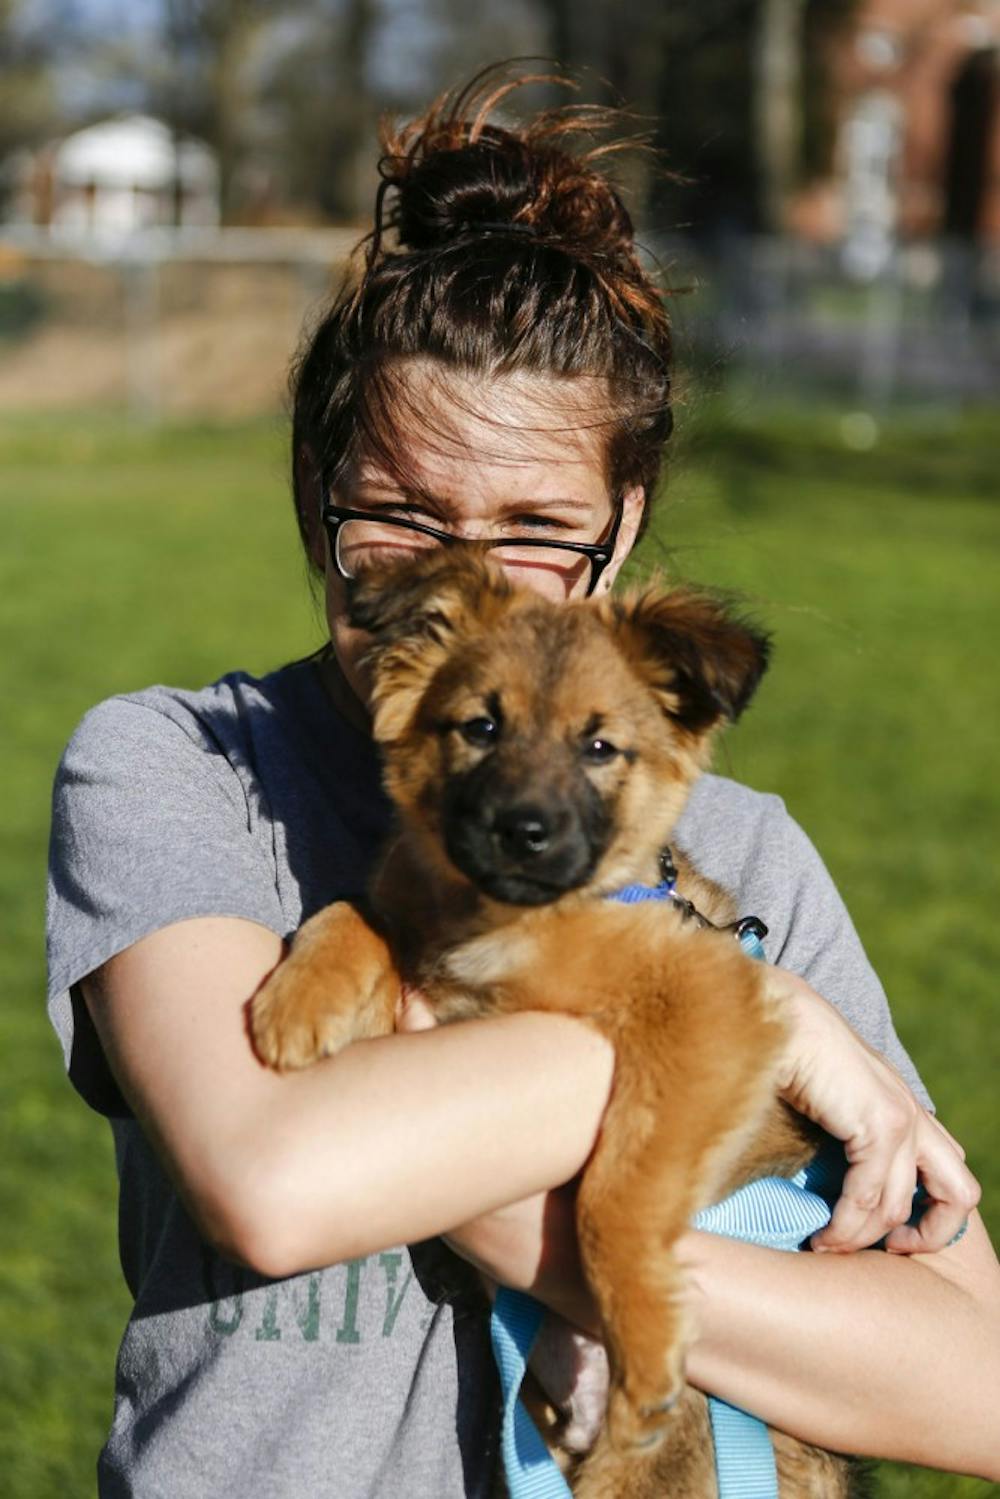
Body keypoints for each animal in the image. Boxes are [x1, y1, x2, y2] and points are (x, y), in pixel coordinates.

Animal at [250, 548, 856, 1497]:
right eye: (479, 727)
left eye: (599, 746)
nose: (521, 832)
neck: (508, 920)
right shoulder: (414, 917)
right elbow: (355, 907)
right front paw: (298, 998)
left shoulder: (704, 1009)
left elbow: (618, 1191)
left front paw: (643, 1336)